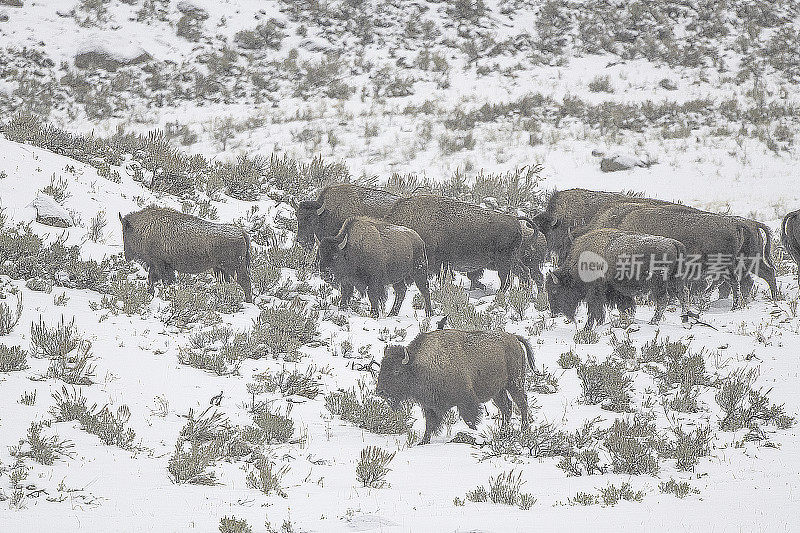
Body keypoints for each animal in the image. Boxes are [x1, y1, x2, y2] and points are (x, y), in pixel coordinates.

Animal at [115, 206, 252, 302]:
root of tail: (241, 232)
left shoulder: (160, 265)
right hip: (220, 269)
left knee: (245, 283)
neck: (146, 228)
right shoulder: (158, 267)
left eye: (125, 232)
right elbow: (153, 280)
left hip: (234, 268)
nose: (127, 256)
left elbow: (164, 281)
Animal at [376, 330, 536, 442]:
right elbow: (429, 424)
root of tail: (513, 337)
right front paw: (423, 442)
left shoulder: (466, 401)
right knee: (506, 407)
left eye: (396, 370)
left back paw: (524, 429)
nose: (380, 391)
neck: (418, 365)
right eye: (382, 367)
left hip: (514, 383)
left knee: (522, 404)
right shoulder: (430, 406)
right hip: (498, 391)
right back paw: (503, 432)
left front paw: (474, 433)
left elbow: (470, 420)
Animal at [548, 228, 692, 326]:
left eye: (555, 290)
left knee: (663, 300)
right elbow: (625, 306)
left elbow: (595, 311)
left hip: (658, 284)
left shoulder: (596, 292)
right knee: (683, 294)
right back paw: (684, 319)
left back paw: (653, 322)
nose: (554, 312)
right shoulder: (618, 292)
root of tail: (674, 243)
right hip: (675, 280)